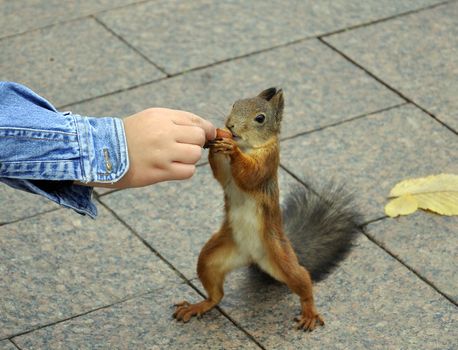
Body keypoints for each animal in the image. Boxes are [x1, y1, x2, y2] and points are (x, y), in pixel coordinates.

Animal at [172, 87, 362, 330]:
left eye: (260, 118)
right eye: (235, 104)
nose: (230, 125)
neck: (248, 146)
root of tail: (252, 258)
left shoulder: (268, 160)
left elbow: (250, 174)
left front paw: (231, 149)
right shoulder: (226, 176)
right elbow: (222, 174)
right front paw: (217, 138)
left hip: (280, 257)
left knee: (302, 279)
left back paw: (309, 311)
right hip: (214, 257)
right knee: (216, 294)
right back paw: (199, 305)